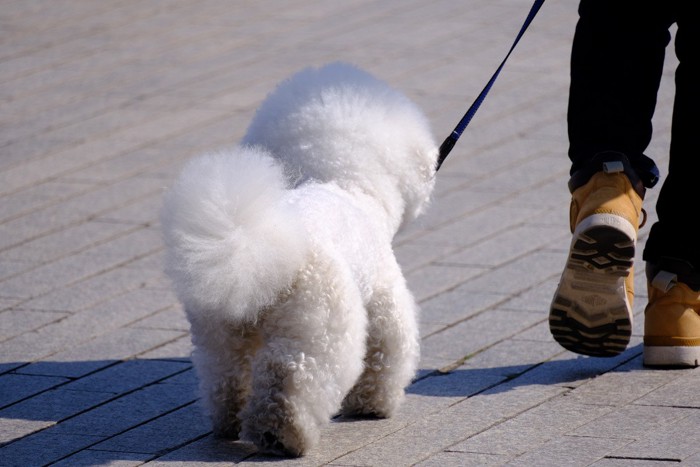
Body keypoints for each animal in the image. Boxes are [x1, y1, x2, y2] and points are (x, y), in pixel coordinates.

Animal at [160, 62, 438, 458]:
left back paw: (228, 423)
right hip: (317, 326)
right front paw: (373, 404)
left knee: (225, 376)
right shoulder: (383, 295)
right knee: (290, 378)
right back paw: (283, 434)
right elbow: (387, 351)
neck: (342, 180)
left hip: (220, 329)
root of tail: (258, 253)